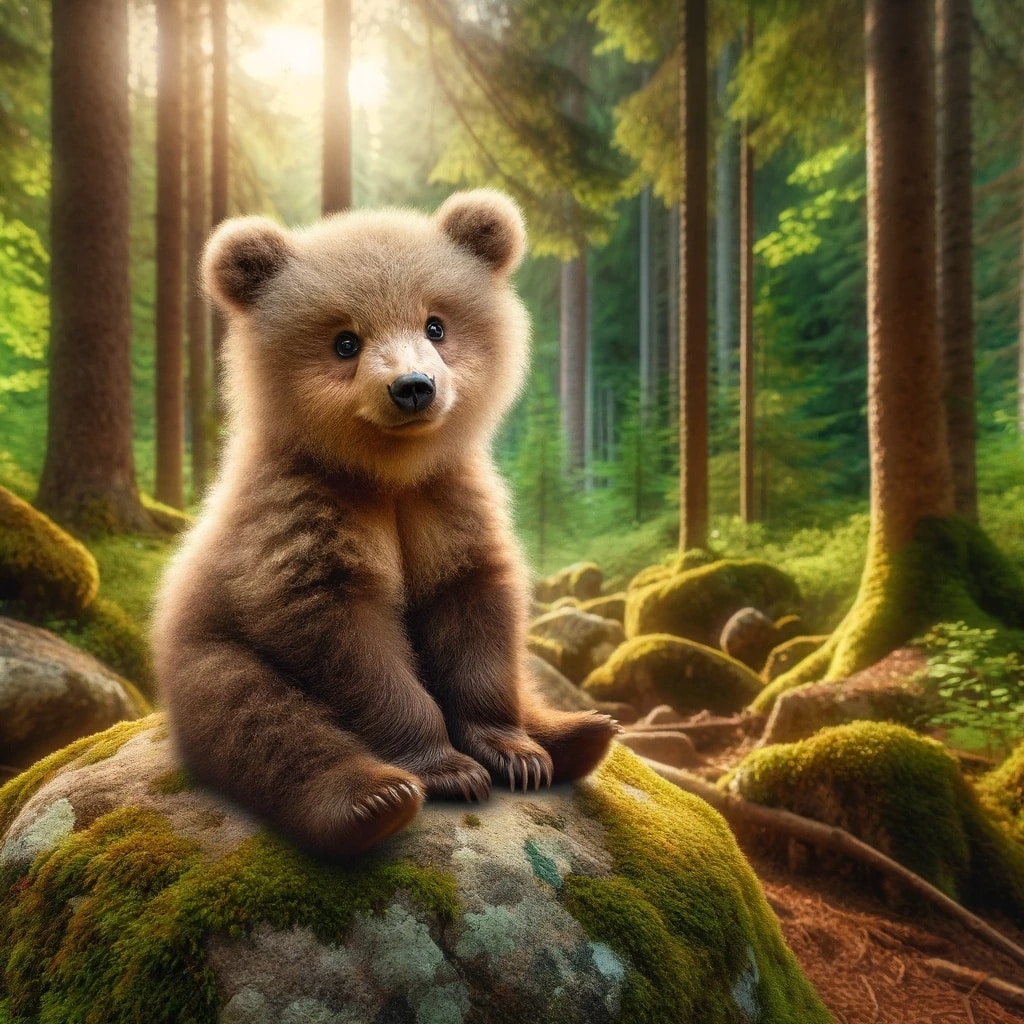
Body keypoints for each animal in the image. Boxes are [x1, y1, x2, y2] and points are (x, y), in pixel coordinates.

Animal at [152, 190, 619, 858]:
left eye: (436, 324)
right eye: (346, 341)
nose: (414, 387)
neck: (388, 474)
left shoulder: (445, 501)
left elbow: (474, 608)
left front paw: (515, 754)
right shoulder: (305, 513)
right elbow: (348, 639)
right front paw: (448, 768)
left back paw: (582, 732)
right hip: (209, 651)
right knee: (256, 717)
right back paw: (373, 800)